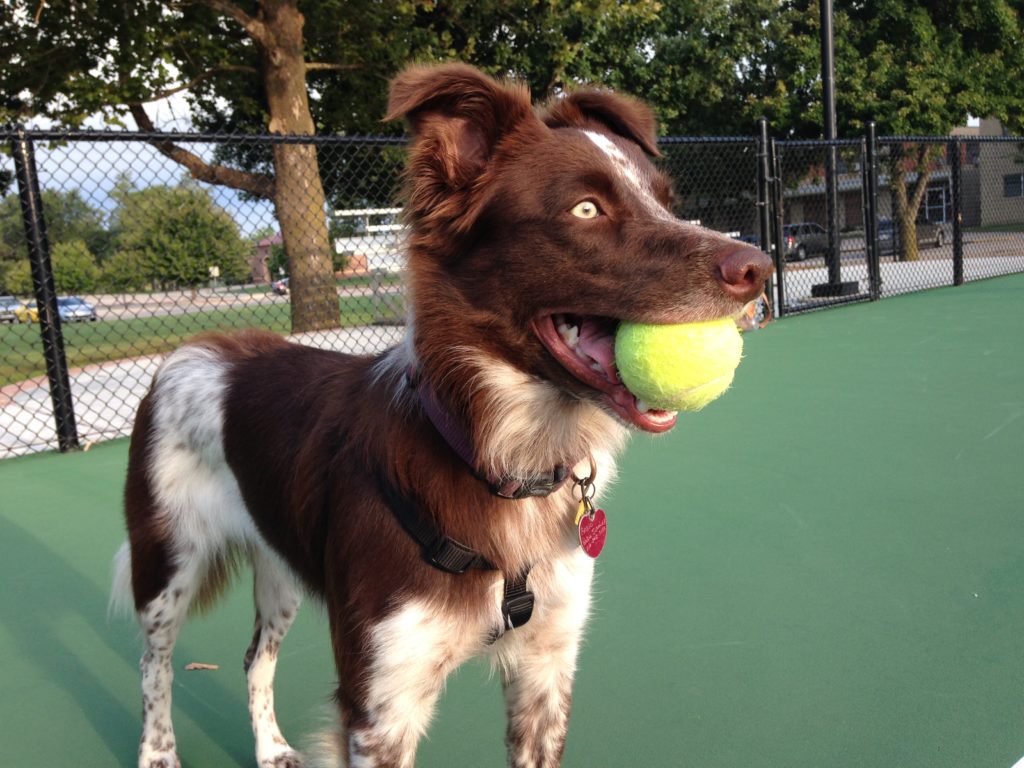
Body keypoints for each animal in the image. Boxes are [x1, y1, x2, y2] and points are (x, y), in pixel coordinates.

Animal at [110, 64, 770, 768]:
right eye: (586, 209)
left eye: (666, 201)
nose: (757, 267)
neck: (502, 458)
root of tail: (193, 346)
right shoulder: (380, 706)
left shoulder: (546, 669)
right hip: (167, 556)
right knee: (153, 663)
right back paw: (158, 753)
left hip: (279, 558)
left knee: (255, 658)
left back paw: (271, 748)